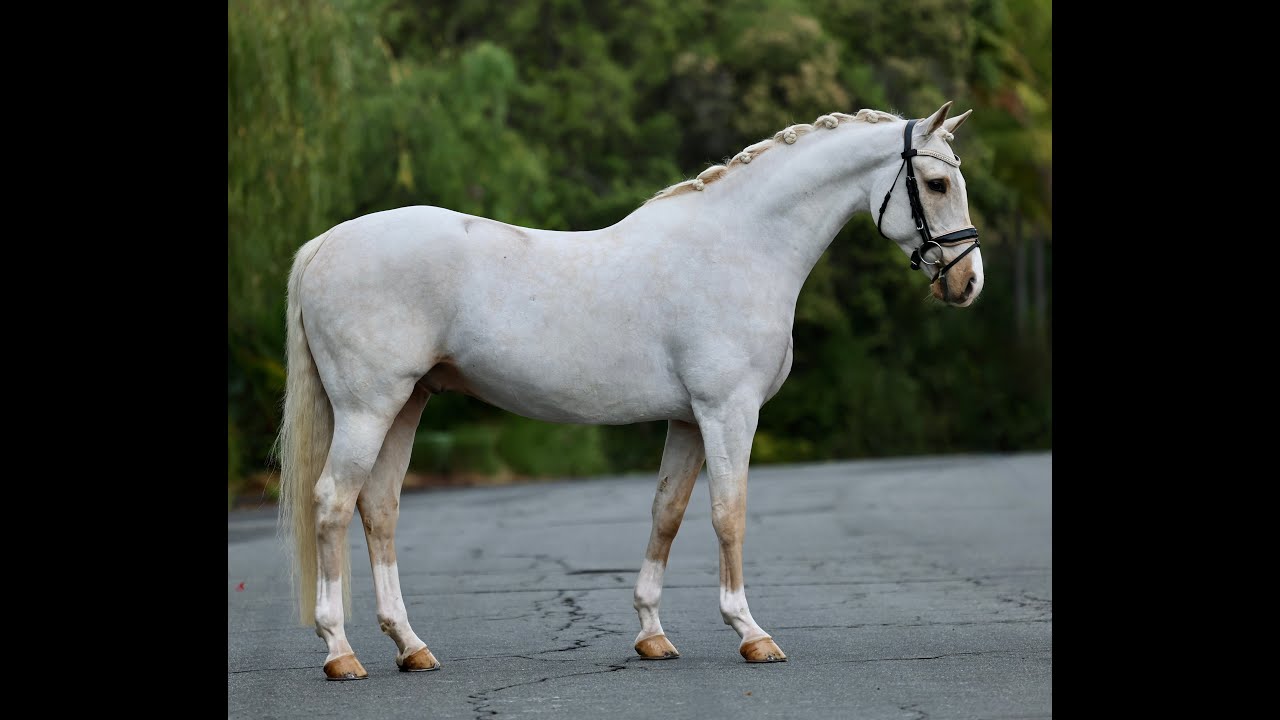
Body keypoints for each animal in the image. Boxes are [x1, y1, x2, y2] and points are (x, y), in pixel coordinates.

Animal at [277, 101, 984, 680]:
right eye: (937, 183)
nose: (967, 283)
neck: (739, 249)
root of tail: (326, 243)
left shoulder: (690, 421)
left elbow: (666, 514)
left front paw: (651, 636)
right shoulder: (728, 413)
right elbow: (728, 514)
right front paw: (751, 634)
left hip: (408, 404)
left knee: (379, 509)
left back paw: (411, 647)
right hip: (368, 408)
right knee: (333, 502)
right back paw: (340, 652)